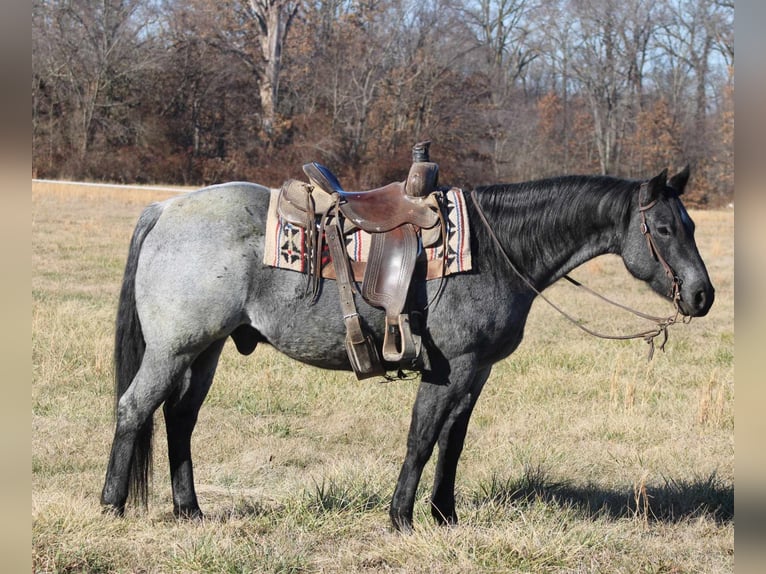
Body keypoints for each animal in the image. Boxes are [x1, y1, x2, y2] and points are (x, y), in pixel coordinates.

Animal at [100, 165, 712, 532]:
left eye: (691, 225)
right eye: (662, 228)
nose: (702, 295)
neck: (494, 249)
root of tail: (166, 210)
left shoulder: (476, 372)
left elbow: (452, 443)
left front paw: (445, 516)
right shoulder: (449, 370)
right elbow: (421, 439)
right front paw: (401, 518)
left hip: (204, 351)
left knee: (179, 419)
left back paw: (190, 510)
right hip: (173, 349)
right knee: (134, 409)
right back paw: (112, 504)